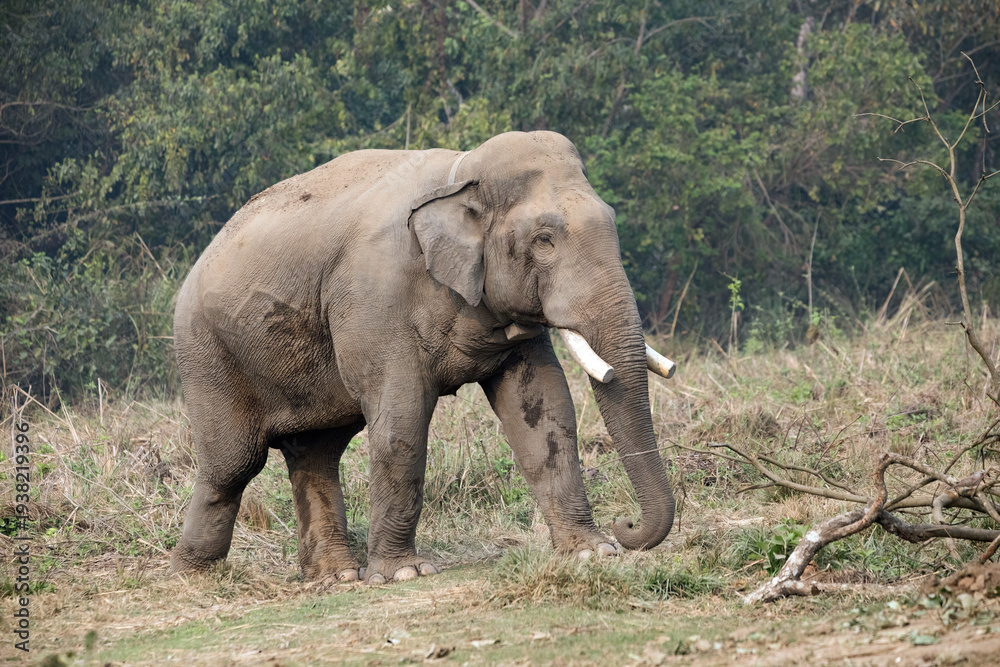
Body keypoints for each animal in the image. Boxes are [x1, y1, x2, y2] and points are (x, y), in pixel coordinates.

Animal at [170, 130, 677, 584]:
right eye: (544, 239)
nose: (625, 525)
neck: (460, 172)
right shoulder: (377, 298)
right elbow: (403, 420)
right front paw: (403, 574)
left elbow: (544, 409)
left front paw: (592, 553)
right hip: (206, 354)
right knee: (233, 465)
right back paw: (196, 576)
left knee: (316, 453)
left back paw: (336, 577)